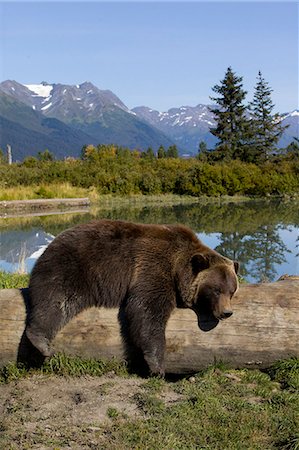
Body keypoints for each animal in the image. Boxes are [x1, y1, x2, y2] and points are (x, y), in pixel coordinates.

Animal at [22, 218, 239, 376]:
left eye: (232, 290)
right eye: (216, 289)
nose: (226, 312)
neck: (178, 268)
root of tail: (53, 242)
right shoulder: (153, 266)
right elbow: (146, 309)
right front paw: (157, 365)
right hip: (73, 266)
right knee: (56, 300)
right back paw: (41, 341)